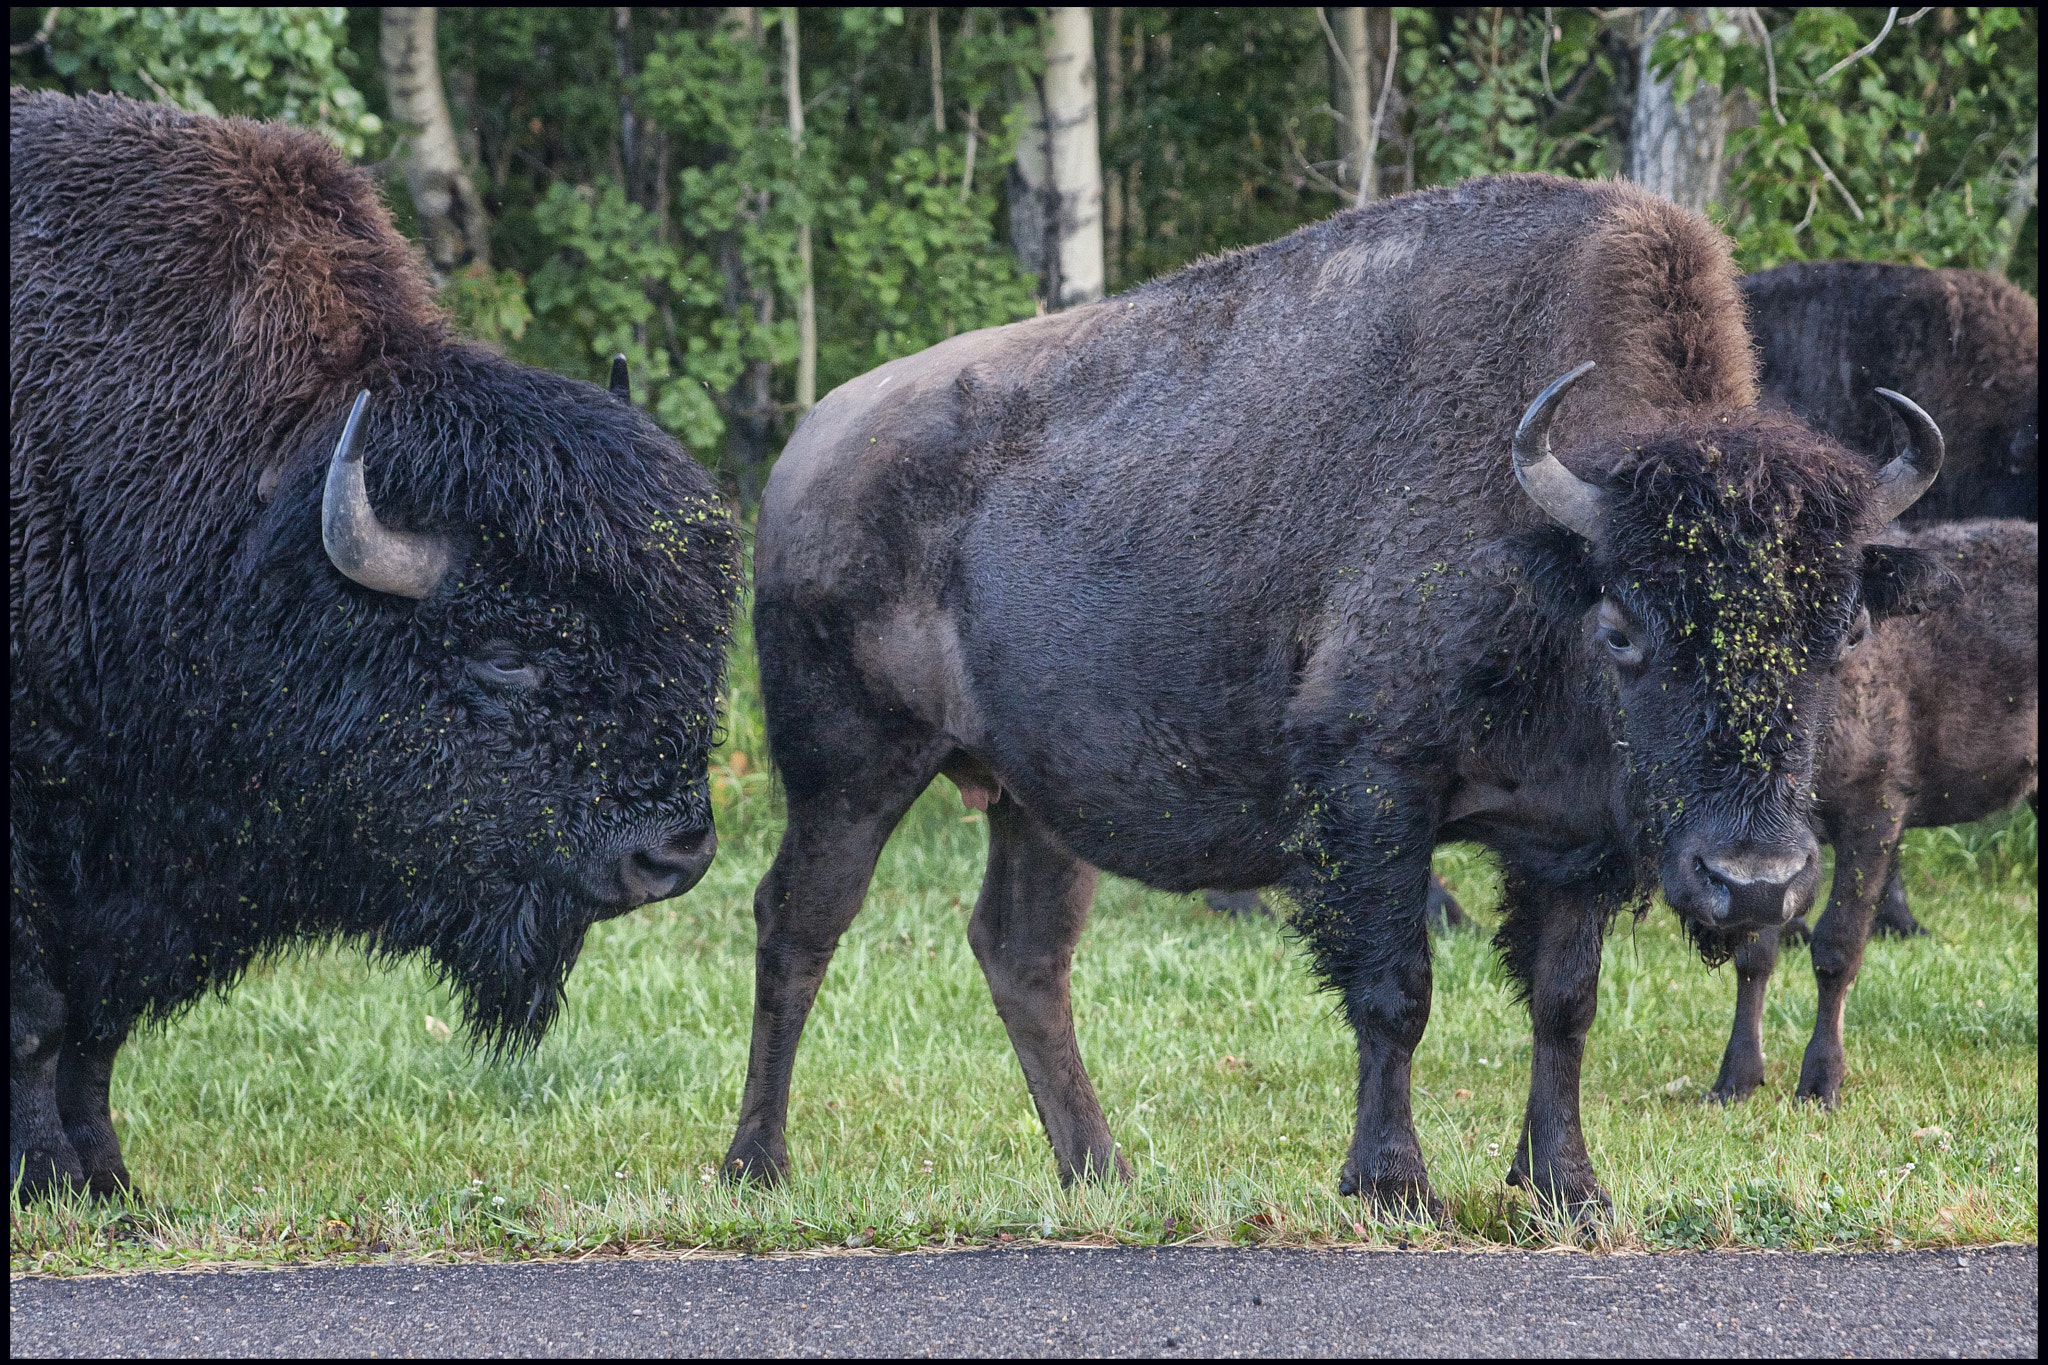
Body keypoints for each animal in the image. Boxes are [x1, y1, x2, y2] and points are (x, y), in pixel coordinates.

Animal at [10, 92, 740, 1200]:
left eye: (694, 625)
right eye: (505, 652)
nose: (674, 853)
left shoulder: (139, 866)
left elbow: (96, 1030)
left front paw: (113, 1186)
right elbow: (40, 1020)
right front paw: (57, 1187)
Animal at [727, 174, 1950, 1216]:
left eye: (1841, 631)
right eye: (1623, 630)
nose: (1756, 882)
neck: (1547, 544)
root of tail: (808, 445)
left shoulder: (1572, 842)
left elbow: (1564, 1004)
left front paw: (1567, 1186)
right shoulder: (1373, 793)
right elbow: (1395, 992)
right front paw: (1392, 1183)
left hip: (1035, 801)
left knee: (1022, 953)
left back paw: (1102, 1173)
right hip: (851, 769)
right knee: (798, 925)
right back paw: (759, 1166)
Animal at [1709, 518, 2037, 1106]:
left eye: (1850, 632)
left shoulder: (1877, 806)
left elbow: (1837, 946)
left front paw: (1821, 1082)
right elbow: (1754, 952)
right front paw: (1736, 1079)